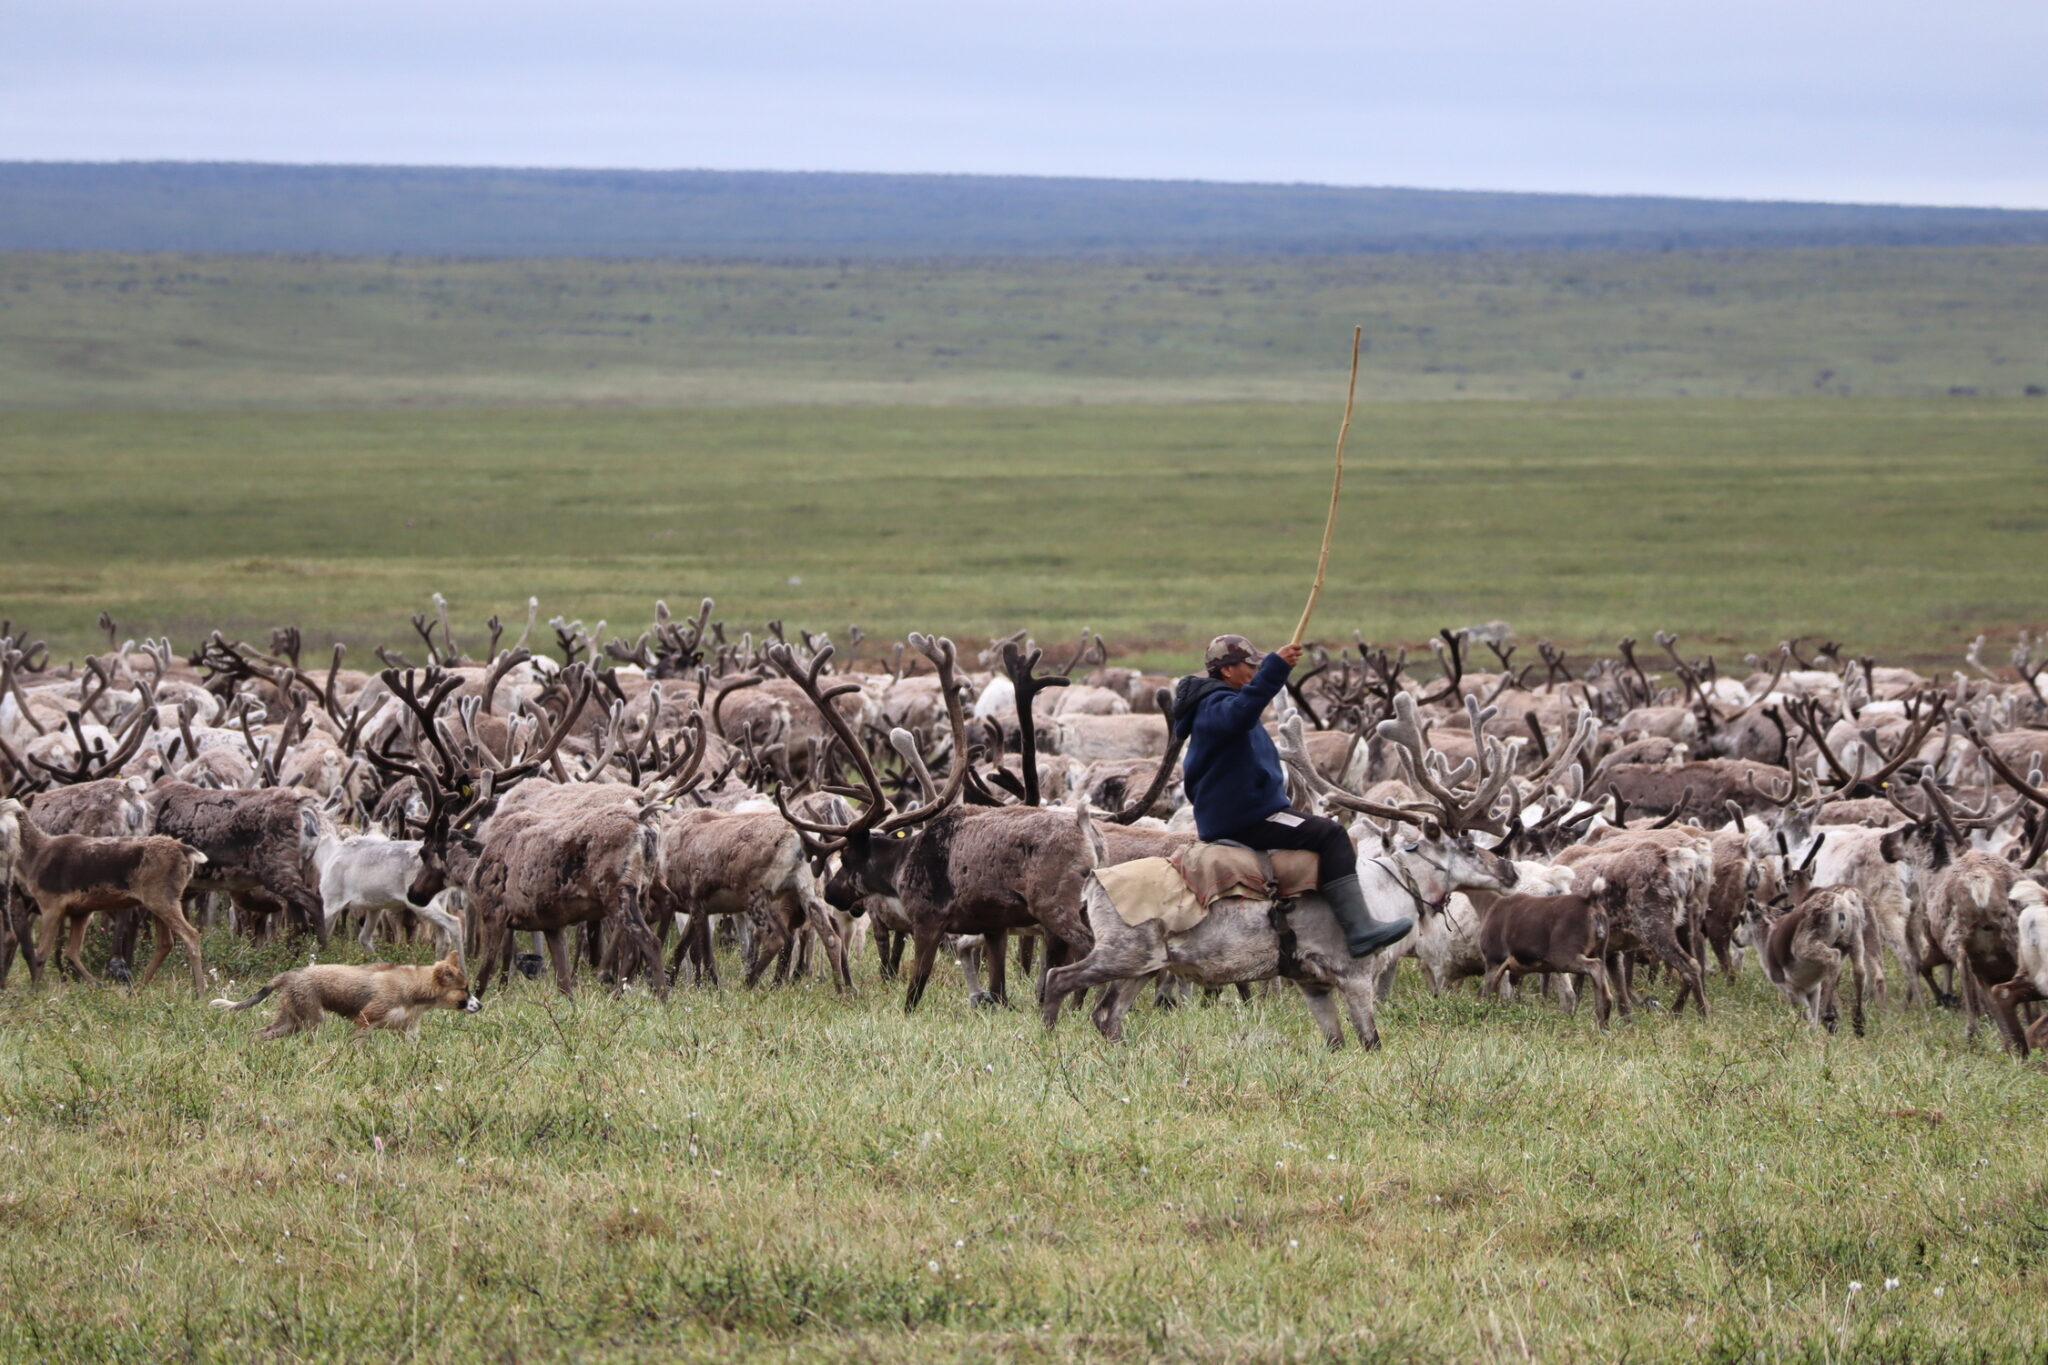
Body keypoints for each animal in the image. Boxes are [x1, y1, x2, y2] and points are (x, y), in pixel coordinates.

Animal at [212, 957, 483, 1039]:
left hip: (289, 1021)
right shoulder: (365, 1021)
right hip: (312, 1020)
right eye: (465, 989)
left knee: (257, 1034)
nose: (480, 1005)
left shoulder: (409, 1031)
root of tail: (291, 974)